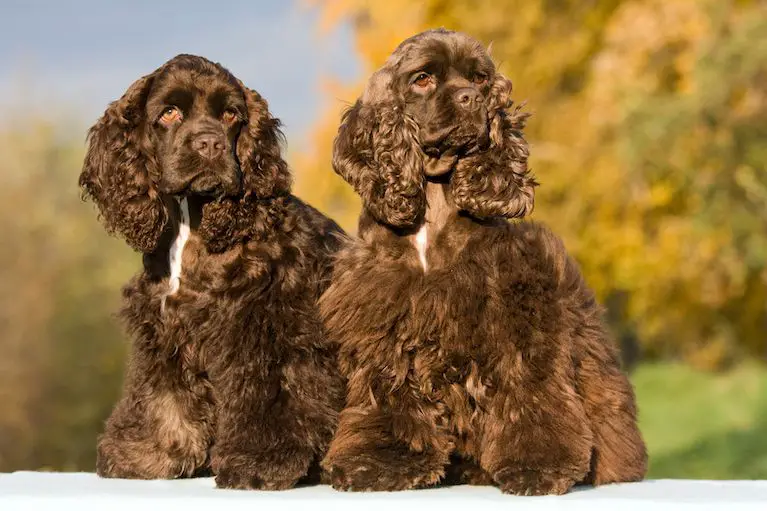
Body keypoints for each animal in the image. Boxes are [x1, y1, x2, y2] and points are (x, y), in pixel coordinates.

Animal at [77, 54, 342, 490]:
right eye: (169, 113)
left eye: (231, 114)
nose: (210, 144)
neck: (192, 225)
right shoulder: (163, 327)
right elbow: (161, 394)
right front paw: (148, 454)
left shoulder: (264, 323)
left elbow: (268, 396)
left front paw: (259, 463)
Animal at [320, 29, 648, 496]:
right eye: (422, 78)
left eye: (479, 78)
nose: (472, 99)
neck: (433, 204)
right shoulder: (384, 315)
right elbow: (388, 394)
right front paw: (381, 463)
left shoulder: (516, 311)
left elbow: (530, 392)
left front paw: (538, 467)